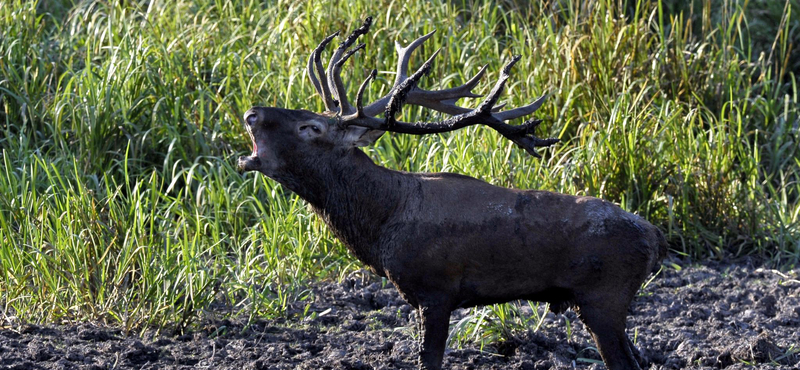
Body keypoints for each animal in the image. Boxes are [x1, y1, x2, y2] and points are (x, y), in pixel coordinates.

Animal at [236, 18, 664, 370]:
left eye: (311, 127)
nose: (251, 113)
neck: (380, 223)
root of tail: (655, 236)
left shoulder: (436, 290)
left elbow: (430, 360)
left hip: (604, 297)